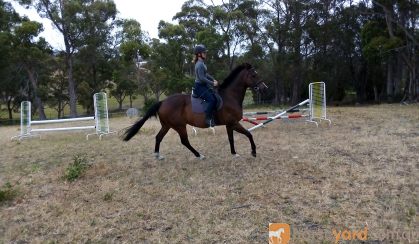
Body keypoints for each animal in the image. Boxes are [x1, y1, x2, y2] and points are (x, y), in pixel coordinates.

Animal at [123, 63, 266, 159]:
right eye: (254, 75)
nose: (264, 87)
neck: (230, 96)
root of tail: (163, 102)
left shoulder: (229, 124)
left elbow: (232, 138)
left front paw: (234, 153)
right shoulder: (233, 122)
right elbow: (249, 134)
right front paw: (253, 152)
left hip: (167, 125)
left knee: (159, 137)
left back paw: (158, 155)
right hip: (179, 126)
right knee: (184, 141)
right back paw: (199, 155)